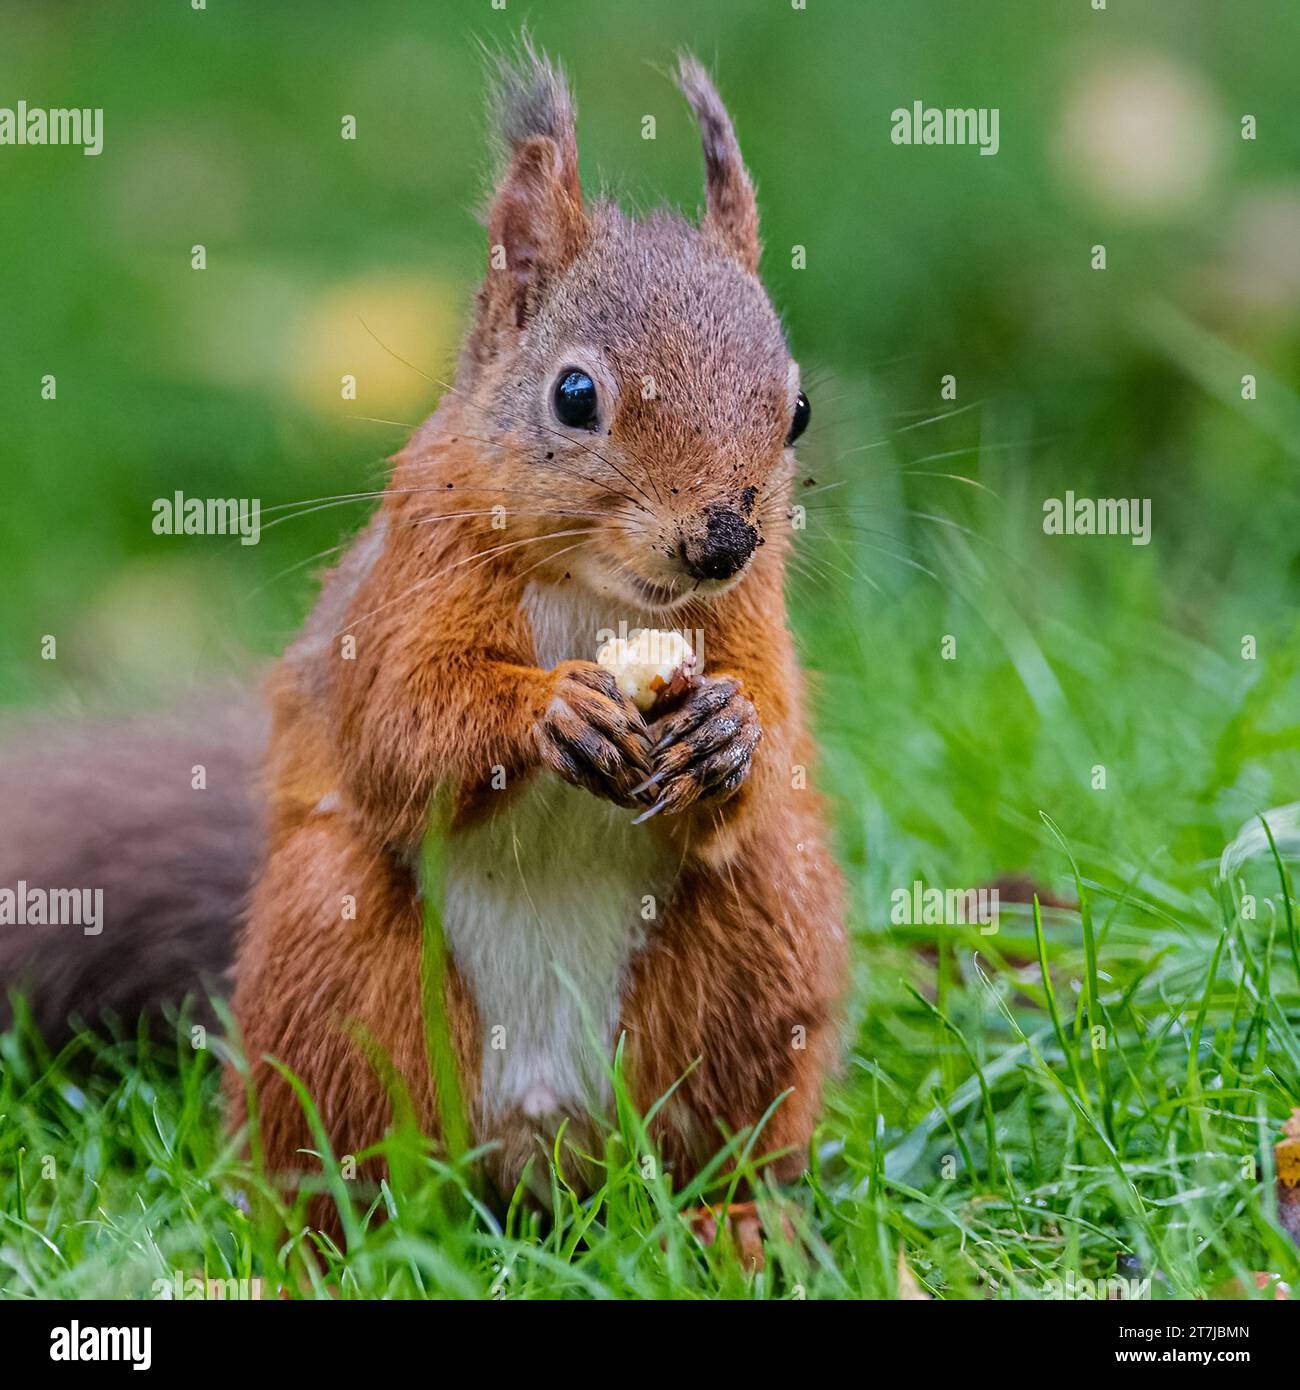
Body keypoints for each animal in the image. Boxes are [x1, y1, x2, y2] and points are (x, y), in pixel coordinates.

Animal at [1, 48, 846, 1225]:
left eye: (797, 409)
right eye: (573, 394)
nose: (723, 538)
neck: (593, 589)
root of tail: (541, 1147)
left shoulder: (745, 614)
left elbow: (771, 738)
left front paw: (728, 730)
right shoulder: (409, 577)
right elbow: (398, 722)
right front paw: (551, 708)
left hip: (761, 943)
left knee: (708, 1138)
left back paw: (738, 1222)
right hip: (333, 959)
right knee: (346, 1160)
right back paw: (329, 1239)